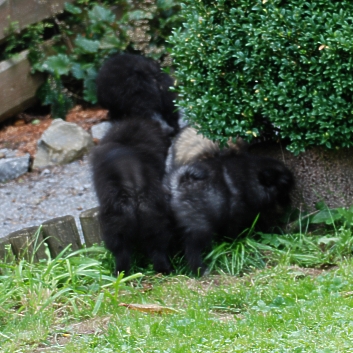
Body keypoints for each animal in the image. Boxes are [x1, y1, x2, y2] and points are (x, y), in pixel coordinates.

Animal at [165, 128, 294, 274]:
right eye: (284, 185)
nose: (289, 202)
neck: (248, 178)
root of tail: (176, 185)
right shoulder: (234, 216)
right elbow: (234, 231)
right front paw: (236, 241)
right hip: (199, 226)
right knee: (191, 249)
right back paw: (201, 269)